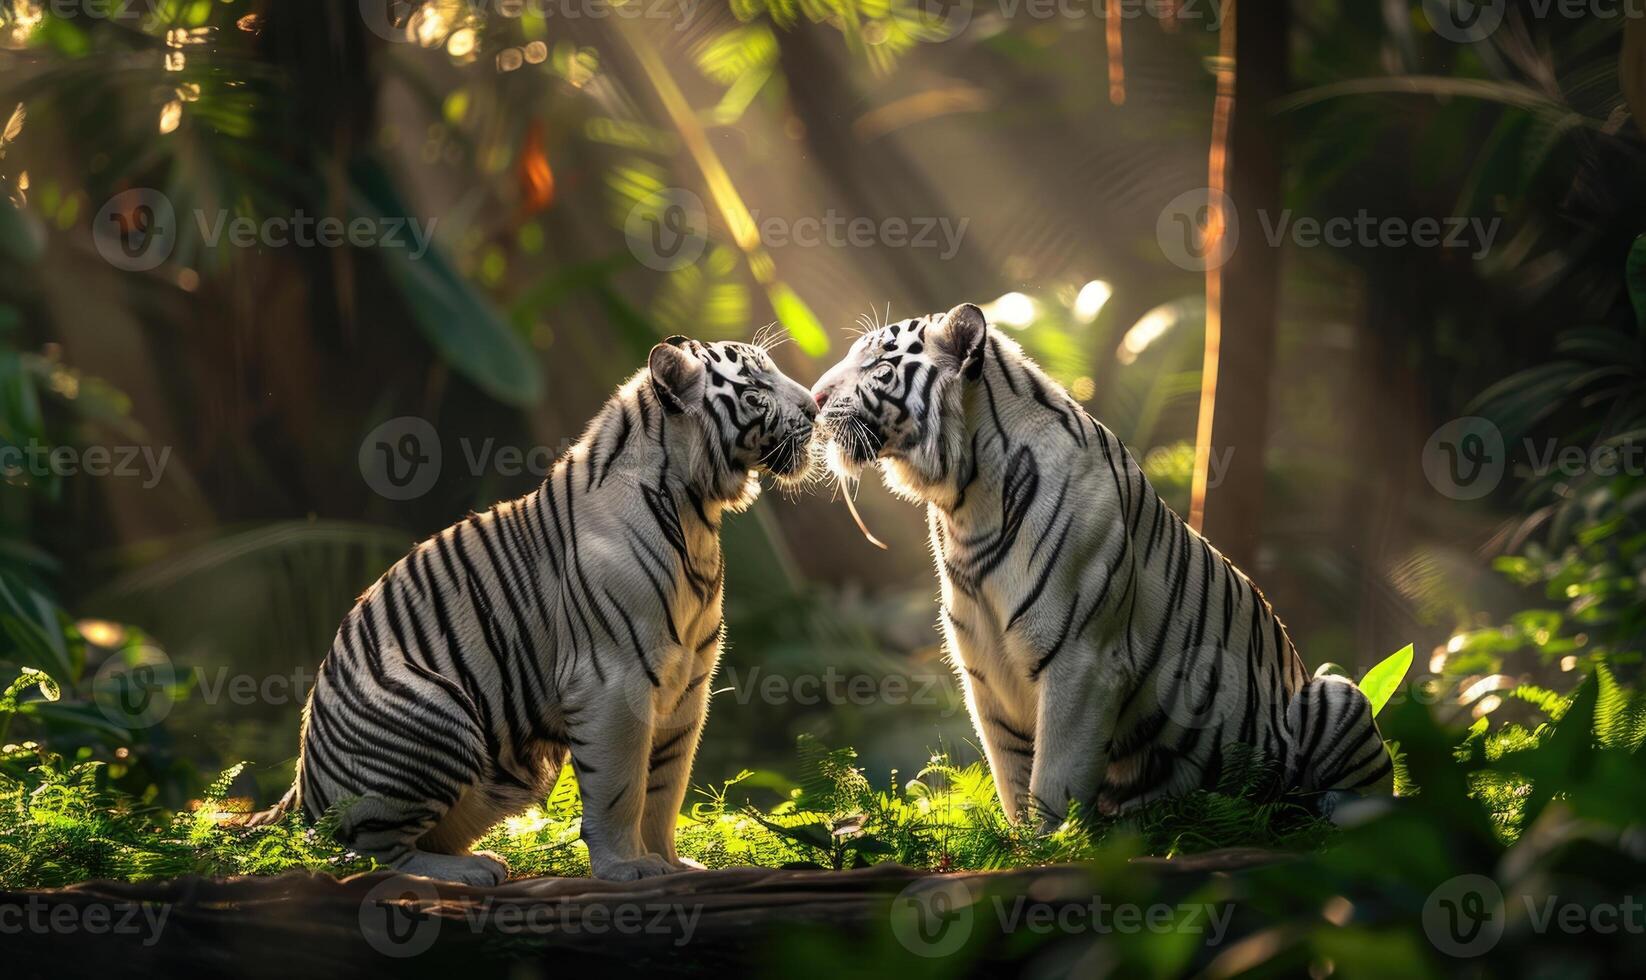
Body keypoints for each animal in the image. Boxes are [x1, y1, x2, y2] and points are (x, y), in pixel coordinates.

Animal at [255, 337, 816, 889]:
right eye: (757, 389)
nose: (814, 406)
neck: (697, 512)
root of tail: (301, 786)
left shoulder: (688, 685)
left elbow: (665, 786)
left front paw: (673, 864)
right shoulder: (613, 679)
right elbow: (621, 788)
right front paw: (627, 868)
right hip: (435, 709)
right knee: (365, 853)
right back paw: (468, 870)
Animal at [809, 304, 1389, 826]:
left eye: (878, 363)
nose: (813, 399)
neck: (963, 504)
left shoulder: (1082, 662)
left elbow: (1052, 779)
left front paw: (1051, 848)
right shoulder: (986, 675)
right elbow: (1012, 777)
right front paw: (1017, 847)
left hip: (1338, 693)